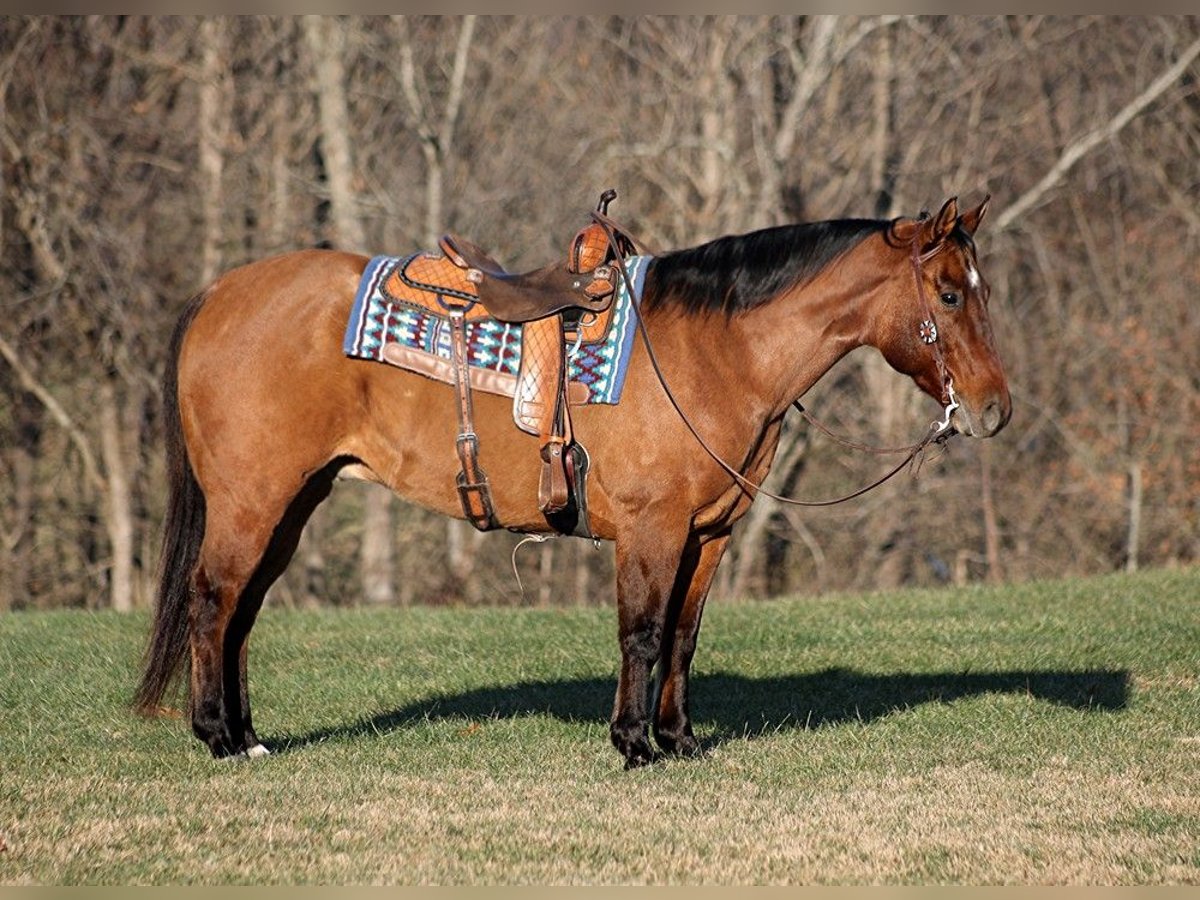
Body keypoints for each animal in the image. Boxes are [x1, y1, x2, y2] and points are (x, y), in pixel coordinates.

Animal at [133, 195, 1012, 768]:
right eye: (948, 293)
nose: (994, 410)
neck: (716, 352)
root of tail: (219, 293)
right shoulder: (653, 530)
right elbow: (643, 633)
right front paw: (634, 744)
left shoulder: (709, 534)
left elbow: (684, 637)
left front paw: (680, 740)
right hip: (253, 501)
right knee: (212, 601)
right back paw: (217, 736)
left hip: (293, 502)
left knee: (242, 611)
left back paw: (250, 734)